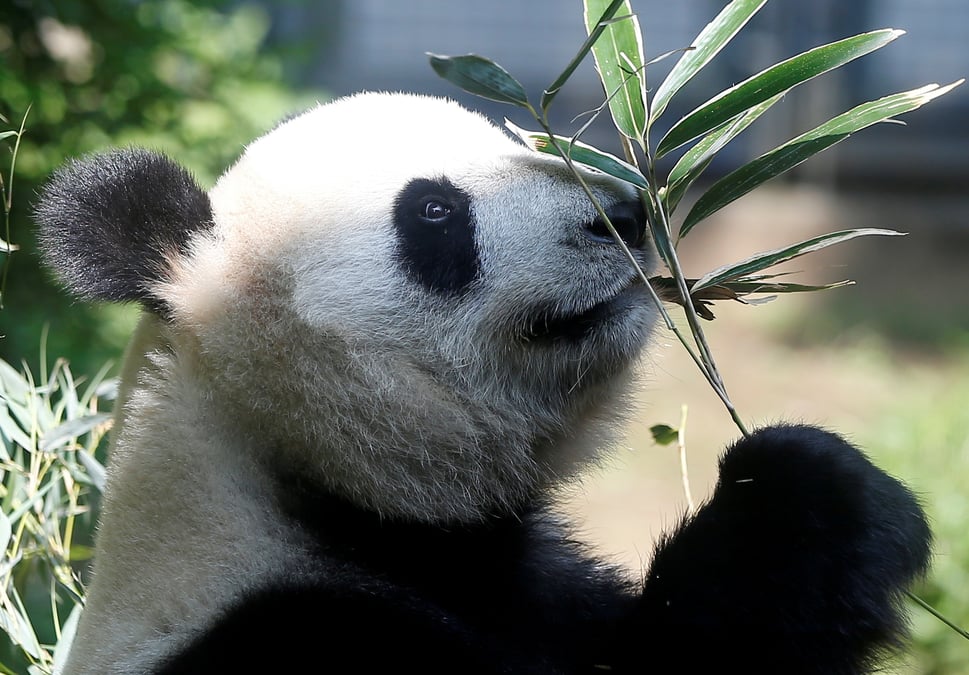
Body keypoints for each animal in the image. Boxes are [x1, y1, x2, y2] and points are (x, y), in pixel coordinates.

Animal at [36, 92, 930, 674]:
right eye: (434, 211)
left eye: (529, 143)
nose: (624, 214)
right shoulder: (298, 634)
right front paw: (800, 493)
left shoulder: (523, 580)